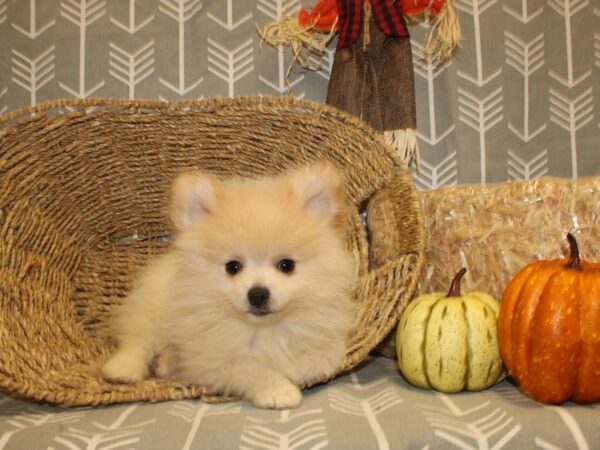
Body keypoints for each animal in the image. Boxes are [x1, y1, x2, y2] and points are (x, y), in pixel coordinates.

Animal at [102, 161, 356, 408]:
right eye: (232, 267)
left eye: (286, 265)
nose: (258, 294)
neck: (265, 328)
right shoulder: (214, 360)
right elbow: (252, 369)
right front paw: (280, 391)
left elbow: (330, 351)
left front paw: (306, 366)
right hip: (152, 313)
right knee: (137, 342)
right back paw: (123, 369)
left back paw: (164, 363)